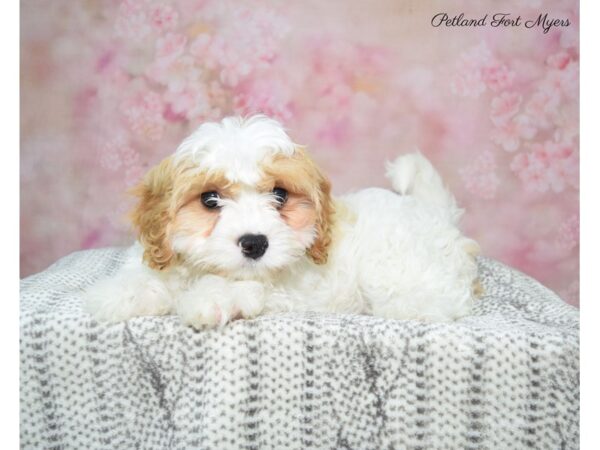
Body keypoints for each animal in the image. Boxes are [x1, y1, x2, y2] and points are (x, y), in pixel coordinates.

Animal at [84, 114, 480, 328]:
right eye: (210, 199)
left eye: (279, 195)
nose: (255, 243)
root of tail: (433, 210)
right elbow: (149, 277)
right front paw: (120, 293)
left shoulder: (287, 288)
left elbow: (241, 286)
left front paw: (210, 299)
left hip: (399, 270)